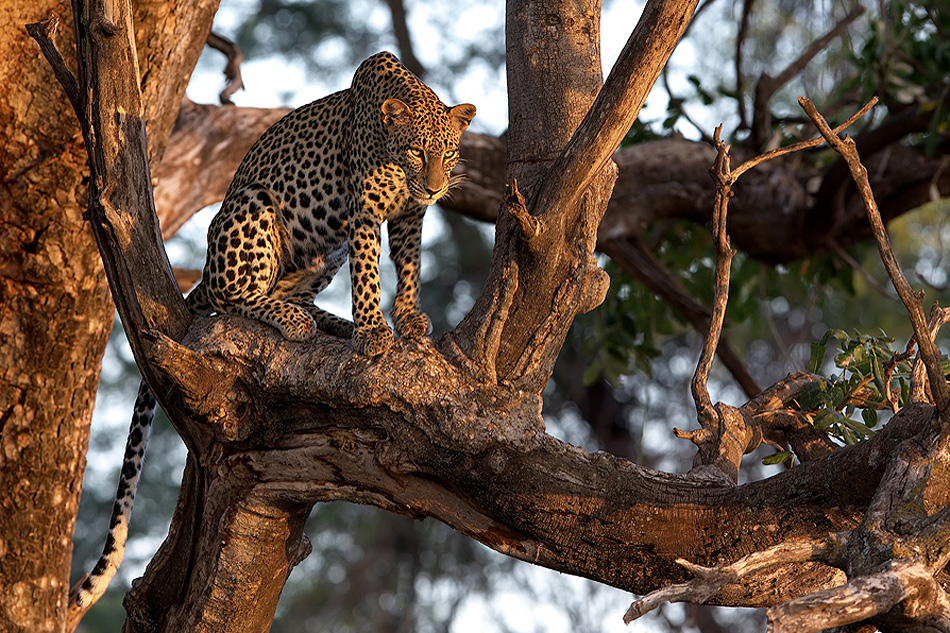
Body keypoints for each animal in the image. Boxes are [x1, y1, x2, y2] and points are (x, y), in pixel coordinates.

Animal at [71, 50, 476, 608]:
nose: (437, 186)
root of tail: (207, 270)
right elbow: (370, 271)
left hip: (321, 250)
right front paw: (373, 329)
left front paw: (407, 317)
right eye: (417, 152)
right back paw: (298, 321)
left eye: (449, 153)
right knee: (235, 300)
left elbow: (410, 263)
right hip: (256, 206)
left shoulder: (410, 214)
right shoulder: (363, 212)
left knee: (287, 292)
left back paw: (329, 323)